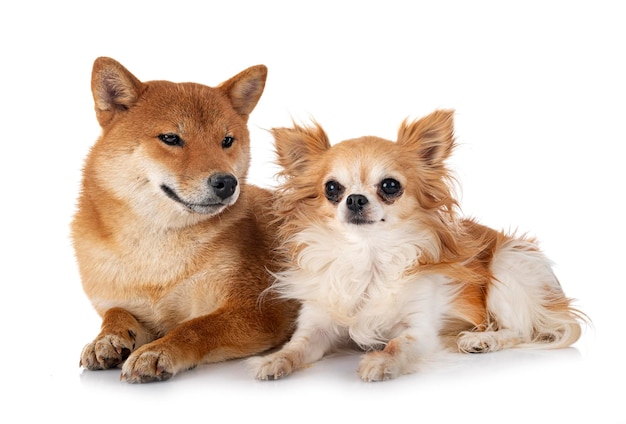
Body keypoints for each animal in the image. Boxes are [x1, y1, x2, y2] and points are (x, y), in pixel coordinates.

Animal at [247, 108, 584, 380]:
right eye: (332, 188)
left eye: (390, 185)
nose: (354, 199)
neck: (369, 257)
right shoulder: (317, 325)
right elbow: (298, 345)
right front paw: (275, 360)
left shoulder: (419, 329)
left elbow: (398, 344)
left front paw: (380, 363)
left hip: (509, 264)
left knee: (519, 329)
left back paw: (482, 340)